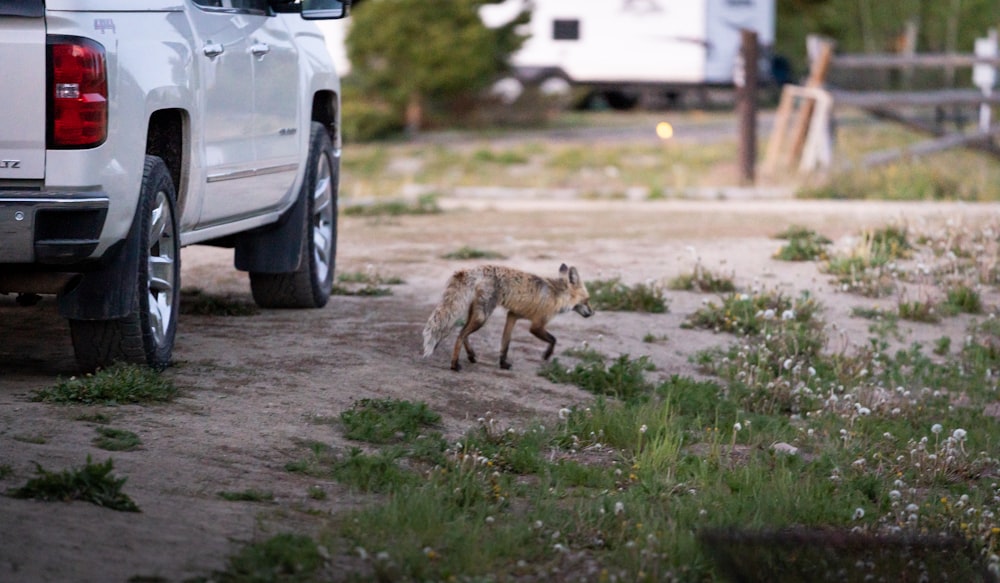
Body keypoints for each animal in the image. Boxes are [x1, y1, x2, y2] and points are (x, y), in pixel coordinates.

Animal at [422, 264, 592, 372]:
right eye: (587, 300)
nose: (592, 313)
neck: (557, 295)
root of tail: (476, 269)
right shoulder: (537, 325)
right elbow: (553, 339)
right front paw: (547, 355)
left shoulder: (513, 315)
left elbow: (505, 344)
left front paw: (503, 363)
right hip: (483, 317)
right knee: (460, 335)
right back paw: (454, 364)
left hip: (477, 314)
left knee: (461, 332)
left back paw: (471, 355)